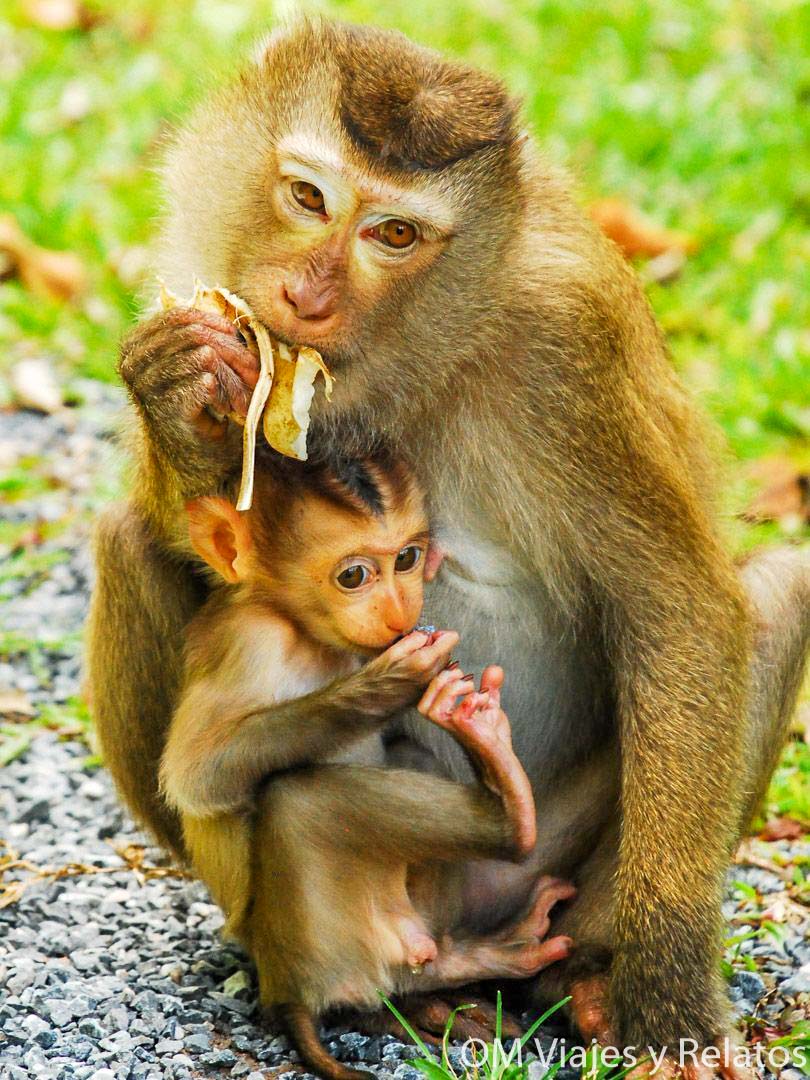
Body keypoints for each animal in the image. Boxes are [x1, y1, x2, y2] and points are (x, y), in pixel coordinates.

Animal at [161, 456, 575, 1079]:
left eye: (406, 559)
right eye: (354, 576)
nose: (402, 612)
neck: (304, 634)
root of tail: (284, 992)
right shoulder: (251, 643)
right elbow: (198, 776)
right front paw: (388, 683)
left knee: (408, 760)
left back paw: (457, 961)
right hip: (321, 939)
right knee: (297, 800)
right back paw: (510, 818)